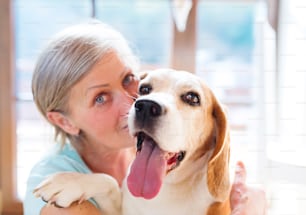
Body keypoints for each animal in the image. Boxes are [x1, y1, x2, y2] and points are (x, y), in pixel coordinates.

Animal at [33, 69, 231, 215]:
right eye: (144, 89)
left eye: (192, 98)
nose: (146, 106)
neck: (167, 188)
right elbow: (108, 181)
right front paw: (70, 181)